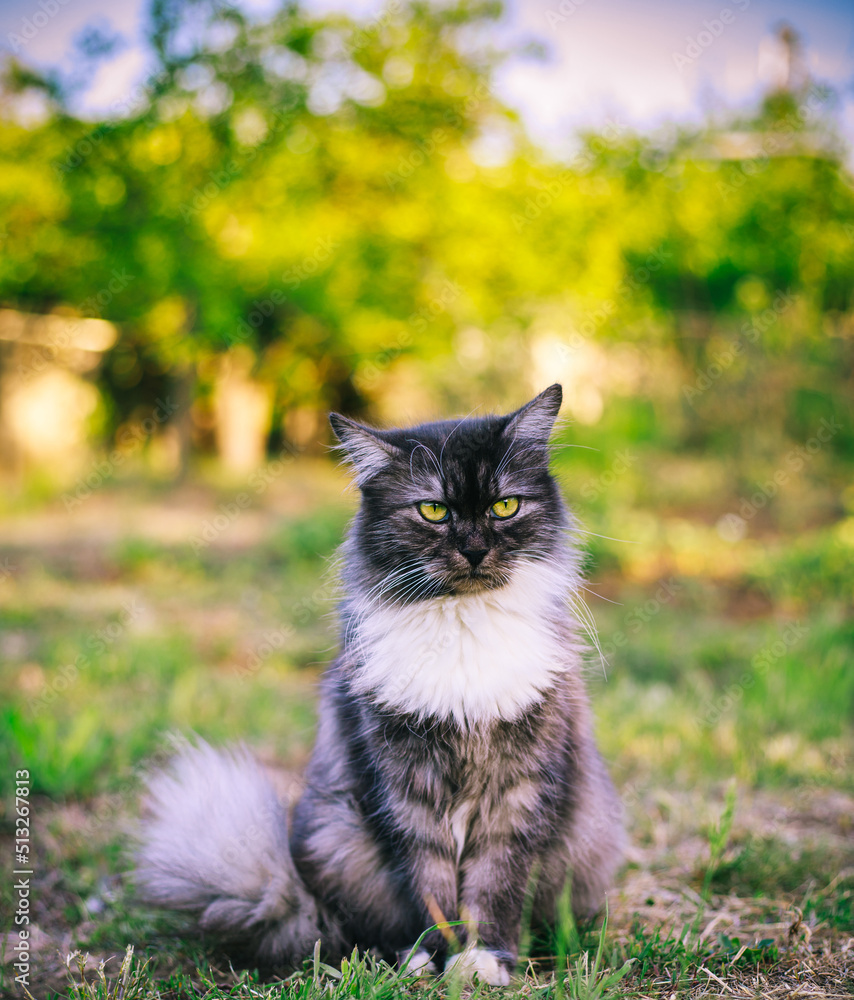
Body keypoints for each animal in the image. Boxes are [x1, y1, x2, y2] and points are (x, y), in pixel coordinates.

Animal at [137, 382, 624, 984]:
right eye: (434, 510)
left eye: (504, 506)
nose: (474, 549)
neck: (462, 627)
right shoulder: (405, 792)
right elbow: (429, 887)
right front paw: (435, 958)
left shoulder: (519, 792)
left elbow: (494, 887)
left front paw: (483, 960)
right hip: (335, 836)